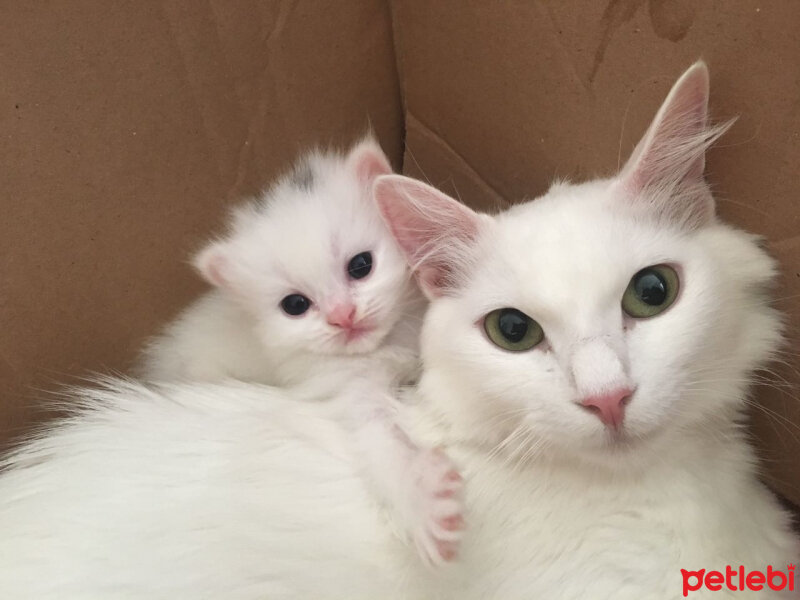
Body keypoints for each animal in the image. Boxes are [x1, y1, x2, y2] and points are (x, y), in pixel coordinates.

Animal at [138, 138, 462, 564]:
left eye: (361, 265)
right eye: (295, 305)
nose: (342, 316)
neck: (388, 343)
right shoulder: (344, 393)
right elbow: (380, 443)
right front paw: (424, 504)